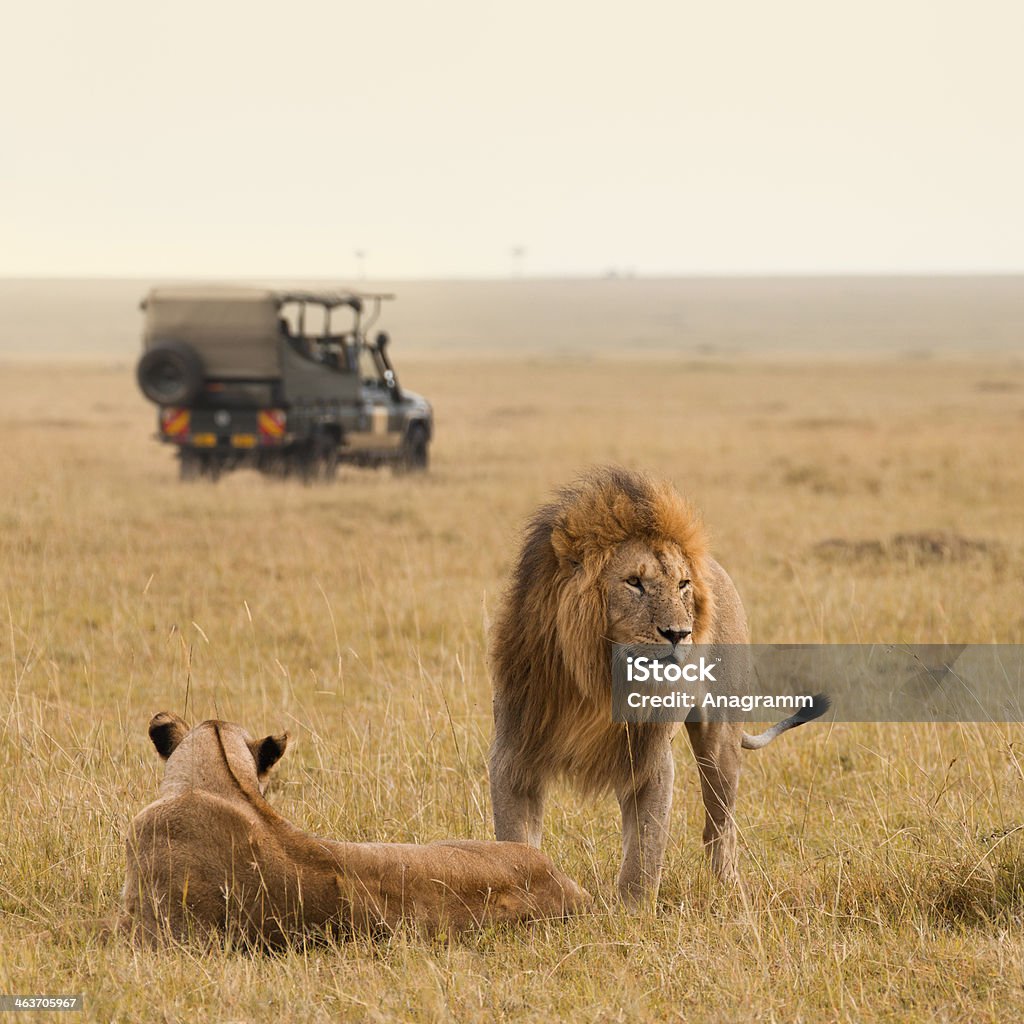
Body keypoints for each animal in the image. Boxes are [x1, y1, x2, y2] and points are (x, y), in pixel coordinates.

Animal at [485, 468, 823, 909]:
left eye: (681, 585)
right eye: (634, 583)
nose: (680, 634)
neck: (596, 682)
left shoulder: (650, 757)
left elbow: (644, 852)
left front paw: (632, 913)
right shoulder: (514, 752)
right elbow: (515, 842)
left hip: (720, 740)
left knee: (720, 824)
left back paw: (729, 891)